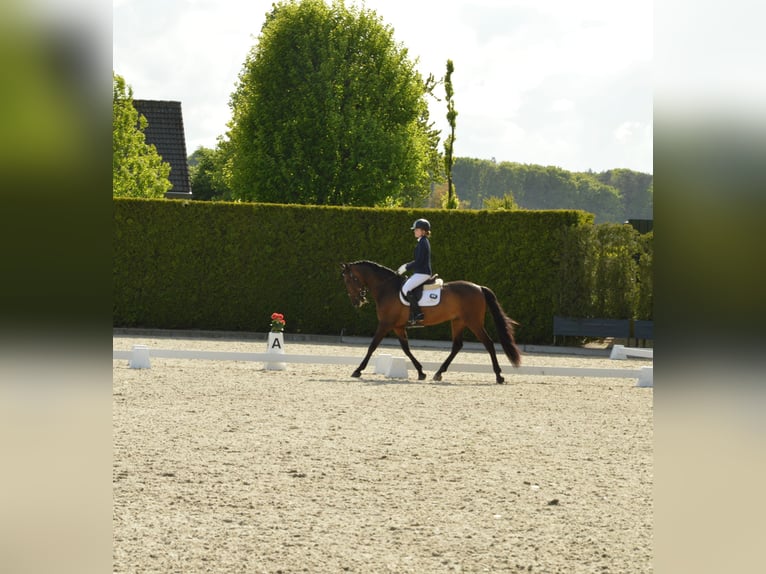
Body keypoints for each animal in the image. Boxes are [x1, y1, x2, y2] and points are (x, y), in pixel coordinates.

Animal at [340, 260, 521, 384]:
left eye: (348, 280)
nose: (356, 302)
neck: (387, 288)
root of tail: (479, 287)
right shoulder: (398, 327)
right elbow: (406, 349)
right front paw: (421, 372)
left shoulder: (385, 324)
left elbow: (372, 346)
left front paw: (358, 370)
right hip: (458, 322)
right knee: (457, 345)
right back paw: (439, 373)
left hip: (474, 322)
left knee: (488, 343)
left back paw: (499, 375)